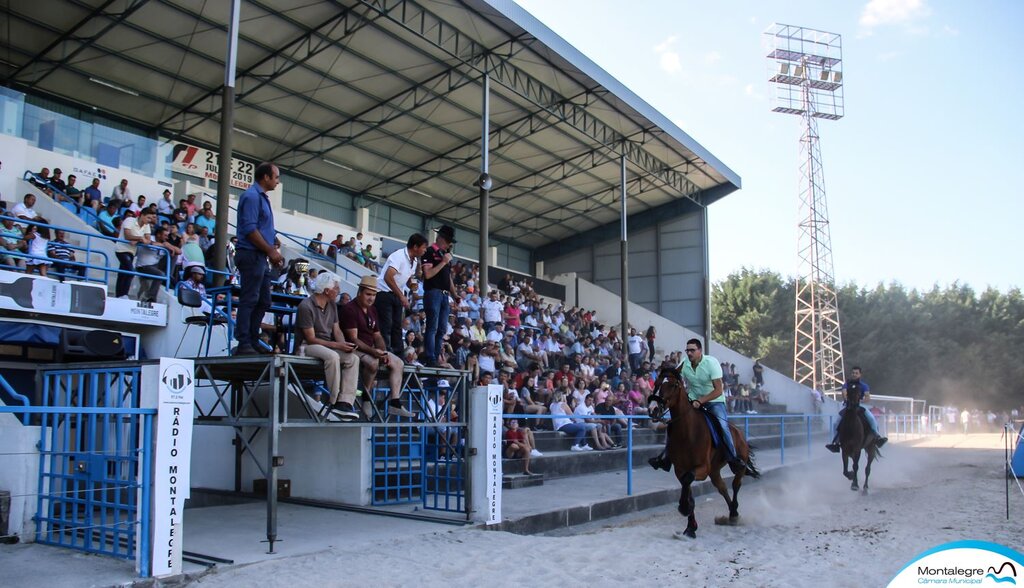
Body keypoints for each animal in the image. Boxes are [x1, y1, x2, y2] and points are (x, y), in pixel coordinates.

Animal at [647, 368, 761, 540]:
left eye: (673, 385)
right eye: (657, 383)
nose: (653, 409)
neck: (687, 431)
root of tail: (739, 432)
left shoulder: (702, 468)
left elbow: (688, 482)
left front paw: (683, 508)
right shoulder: (681, 469)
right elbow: (688, 489)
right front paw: (690, 527)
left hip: (737, 466)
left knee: (736, 484)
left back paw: (734, 513)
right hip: (714, 471)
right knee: (722, 488)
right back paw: (730, 513)